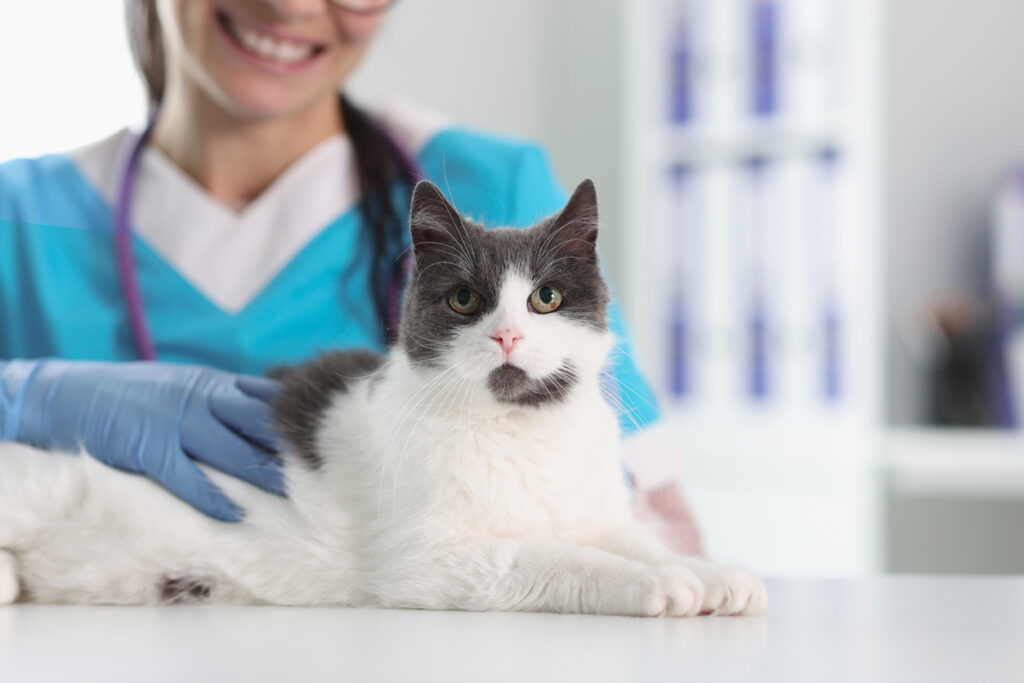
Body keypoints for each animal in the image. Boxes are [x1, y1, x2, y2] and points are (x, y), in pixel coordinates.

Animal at [0, 181, 765, 618]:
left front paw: (714, 575)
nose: (510, 334)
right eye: (465, 300)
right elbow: (560, 560)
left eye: (546, 297)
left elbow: (640, 539)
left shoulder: (596, 512)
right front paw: (658, 586)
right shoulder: (435, 564)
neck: (520, 432)